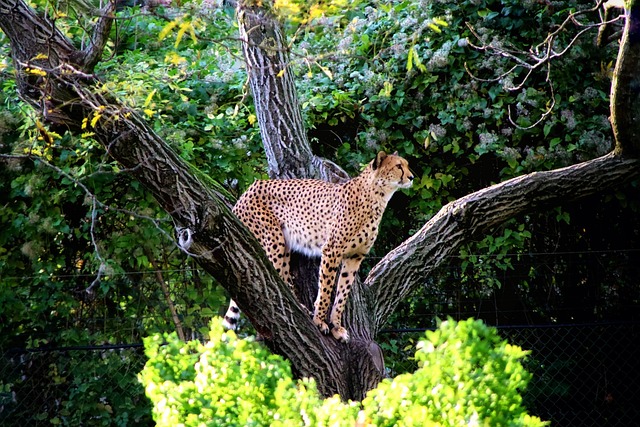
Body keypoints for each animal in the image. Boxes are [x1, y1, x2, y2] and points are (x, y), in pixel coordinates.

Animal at [222, 152, 412, 342]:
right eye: (398, 166)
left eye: (407, 165)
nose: (411, 177)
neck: (377, 196)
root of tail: (250, 188)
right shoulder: (332, 250)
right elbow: (326, 289)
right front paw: (320, 321)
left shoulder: (355, 256)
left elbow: (342, 294)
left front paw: (337, 327)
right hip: (274, 241)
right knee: (274, 279)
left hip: (284, 245)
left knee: (283, 277)